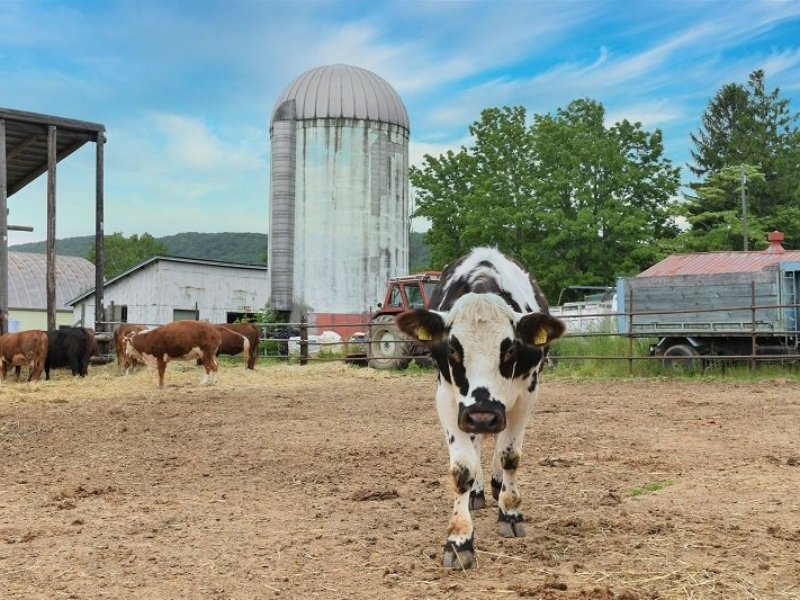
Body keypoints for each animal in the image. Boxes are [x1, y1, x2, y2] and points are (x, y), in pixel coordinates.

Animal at [396, 247, 565, 569]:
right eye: (452, 348)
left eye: (509, 349)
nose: (483, 415)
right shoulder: (448, 398)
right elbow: (463, 468)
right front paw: (459, 539)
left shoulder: (526, 395)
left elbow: (509, 456)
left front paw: (510, 513)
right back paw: (477, 492)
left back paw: (498, 487)